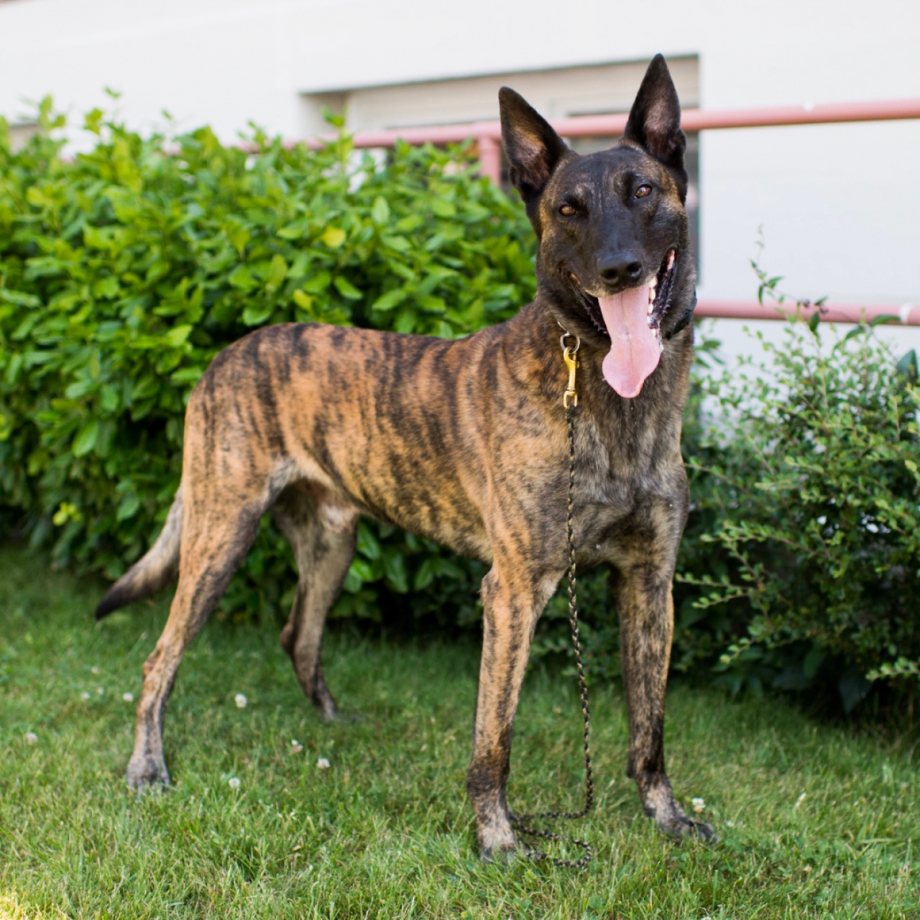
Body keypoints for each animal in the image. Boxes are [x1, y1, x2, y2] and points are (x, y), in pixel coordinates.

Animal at [93, 54, 716, 860]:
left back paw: (332, 726)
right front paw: (498, 841)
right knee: (158, 658)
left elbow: (650, 728)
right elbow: (494, 740)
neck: (606, 395)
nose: (618, 269)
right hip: (218, 534)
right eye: (568, 210)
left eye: (642, 190)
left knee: (298, 635)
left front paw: (664, 817)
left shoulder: (649, 583)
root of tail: (223, 357)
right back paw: (147, 766)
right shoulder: (514, 591)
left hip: (331, 540)